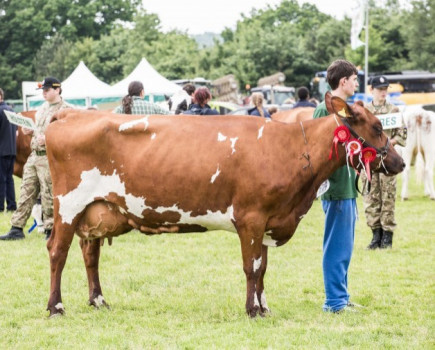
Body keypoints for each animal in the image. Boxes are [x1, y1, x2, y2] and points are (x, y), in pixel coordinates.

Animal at [44, 92, 406, 318]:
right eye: (377, 126)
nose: (400, 162)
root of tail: (69, 112)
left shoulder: (269, 221)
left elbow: (263, 268)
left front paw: (263, 307)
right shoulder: (251, 217)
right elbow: (251, 267)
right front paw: (251, 310)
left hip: (96, 210)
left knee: (90, 254)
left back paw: (98, 300)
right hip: (68, 205)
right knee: (57, 251)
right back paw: (55, 306)